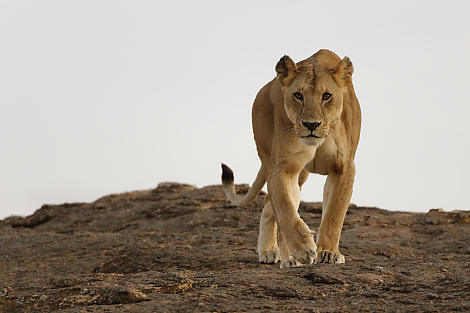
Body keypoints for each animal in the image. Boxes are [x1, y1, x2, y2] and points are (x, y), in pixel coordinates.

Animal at [222, 49, 362, 268]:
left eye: (326, 96)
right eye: (298, 95)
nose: (311, 125)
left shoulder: (343, 167)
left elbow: (334, 213)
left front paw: (328, 253)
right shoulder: (283, 167)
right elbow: (285, 209)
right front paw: (303, 249)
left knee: (268, 207)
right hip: (275, 163)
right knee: (273, 207)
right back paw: (280, 255)